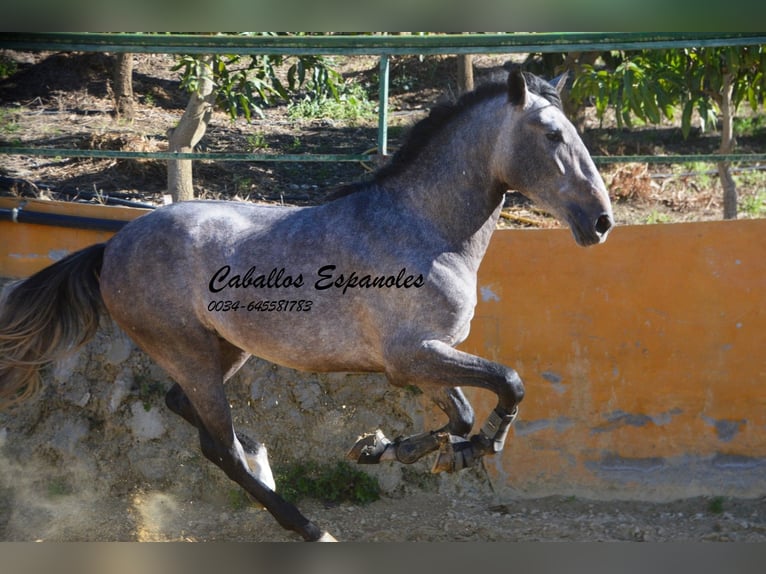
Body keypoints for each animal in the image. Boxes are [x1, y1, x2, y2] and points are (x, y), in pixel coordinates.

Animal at [0, 70, 612, 544]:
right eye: (552, 134)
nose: (601, 222)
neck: (424, 229)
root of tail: (111, 246)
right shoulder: (412, 357)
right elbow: (509, 382)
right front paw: (460, 448)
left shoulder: (426, 359)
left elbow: (462, 411)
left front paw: (392, 450)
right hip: (189, 351)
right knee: (216, 446)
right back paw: (309, 526)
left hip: (226, 350)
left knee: (189, 413)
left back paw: (263, 458)